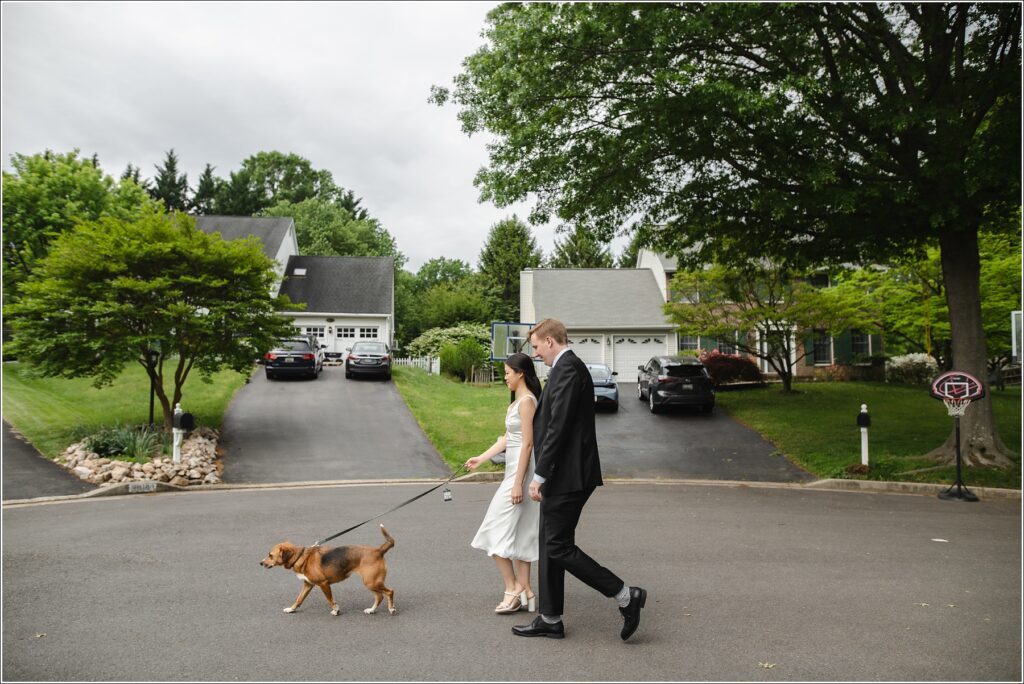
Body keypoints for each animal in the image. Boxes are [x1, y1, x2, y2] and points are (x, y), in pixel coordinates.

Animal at [260, 528, 395, 618]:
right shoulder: (308, 585)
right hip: (371, 583)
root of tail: (378, 550)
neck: (300, 556)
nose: (260, 563)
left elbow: (330, 599)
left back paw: (391, 609)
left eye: (270, 555)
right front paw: (291, 609)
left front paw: (336, 610)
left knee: (389, 592)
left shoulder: (324, 584)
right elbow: (299, 599)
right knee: (379, 596)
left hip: (371, 582)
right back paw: (371, 610)